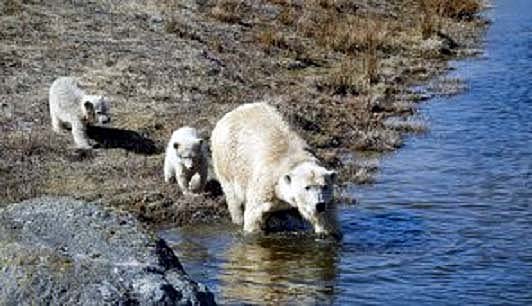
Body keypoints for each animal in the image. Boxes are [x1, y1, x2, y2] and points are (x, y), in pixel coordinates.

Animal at [210, 101, 338, 238]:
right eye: (307, 187)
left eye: (325, 186)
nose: (319, 205)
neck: (293, 160)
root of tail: (234, 111)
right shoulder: (265, 185)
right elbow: (254, 214)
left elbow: (326, 219)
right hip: (227, 160)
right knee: (233, 197)